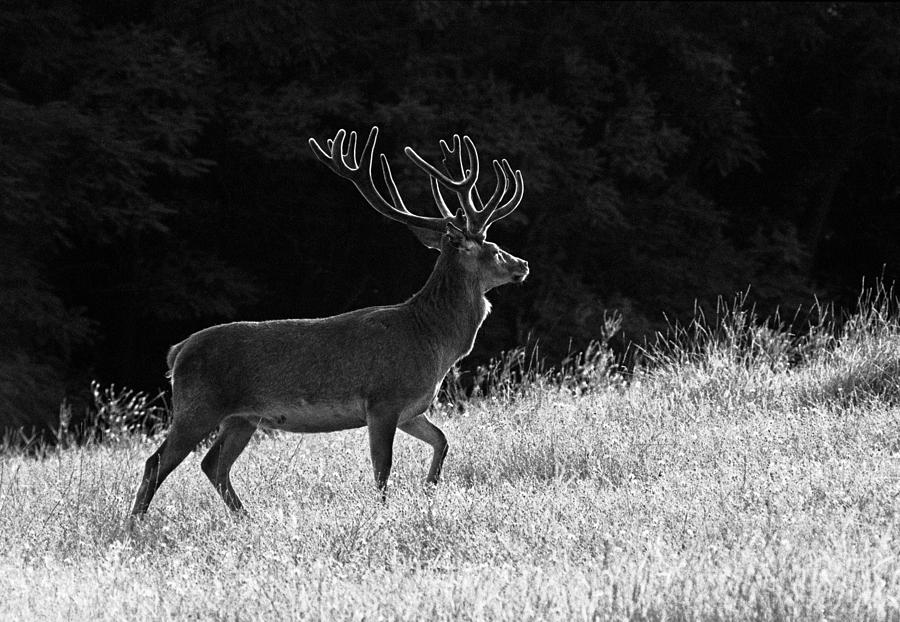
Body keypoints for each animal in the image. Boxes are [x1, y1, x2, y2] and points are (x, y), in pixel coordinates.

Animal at [130, 125, 532, 516]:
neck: (432, 342)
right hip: (197, 405)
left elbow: (443, 440)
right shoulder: (383, 399)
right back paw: (136, 524)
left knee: (213, 464)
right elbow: (382, 468)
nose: (523, 264)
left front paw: (430, 488)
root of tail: (177, 351)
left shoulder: (411, 409)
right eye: (494, 249)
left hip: (241, 418)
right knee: (157, 462)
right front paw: (384, 512)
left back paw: (245, 518)